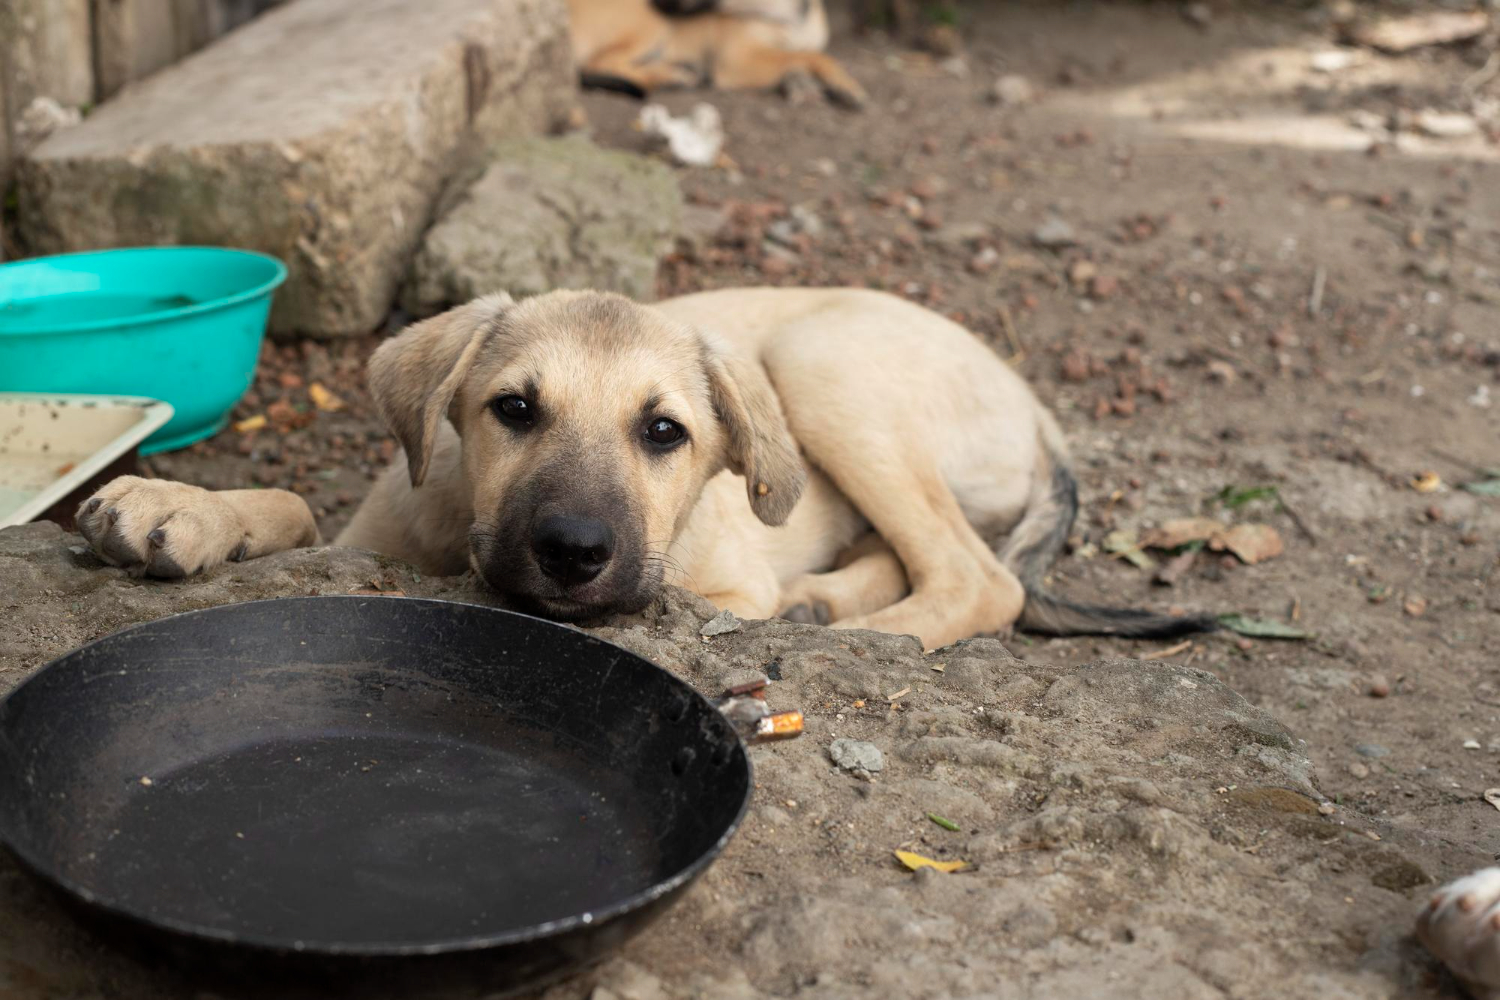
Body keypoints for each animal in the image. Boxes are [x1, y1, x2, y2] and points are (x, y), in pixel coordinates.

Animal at [73, 284, 1218, 653]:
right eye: (513, 410)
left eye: (665, 433)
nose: (574, 553)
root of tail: (1039, 408)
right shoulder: (373, 524)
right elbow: (289, 499)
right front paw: (182, 506)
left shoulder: (716, 576)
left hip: (822, 362)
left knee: (980, 581)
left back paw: (847, 630)